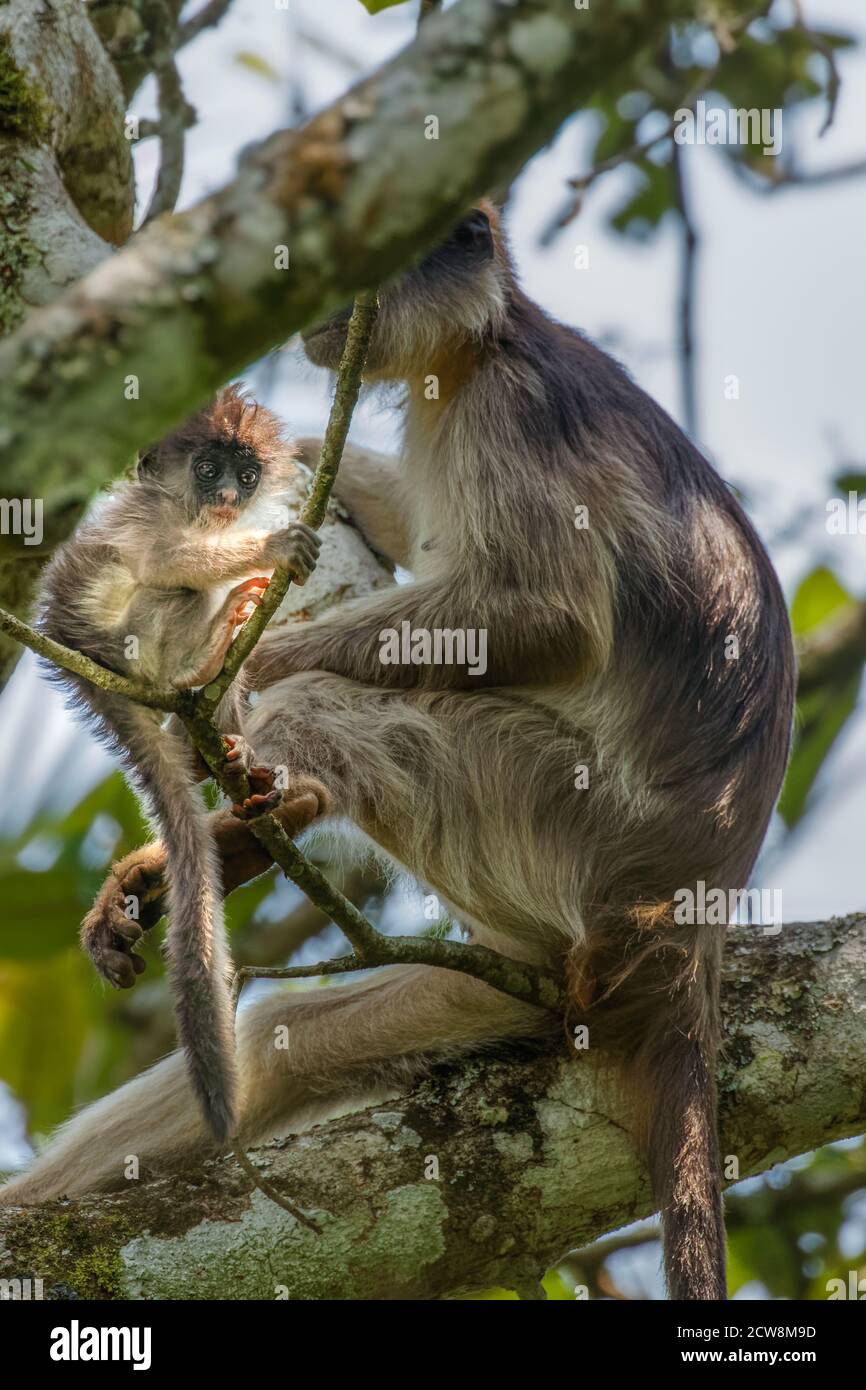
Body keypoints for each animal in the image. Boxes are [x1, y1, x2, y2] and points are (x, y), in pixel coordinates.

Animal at [37, 389, 322, 1139]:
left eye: (245, 477)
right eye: (206, 468)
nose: (226, 496)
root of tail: (89, 670)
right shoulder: (145, 520)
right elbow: (166, 560)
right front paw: (274, 546)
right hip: (135, 643)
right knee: (183, 588)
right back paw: (208, 661)